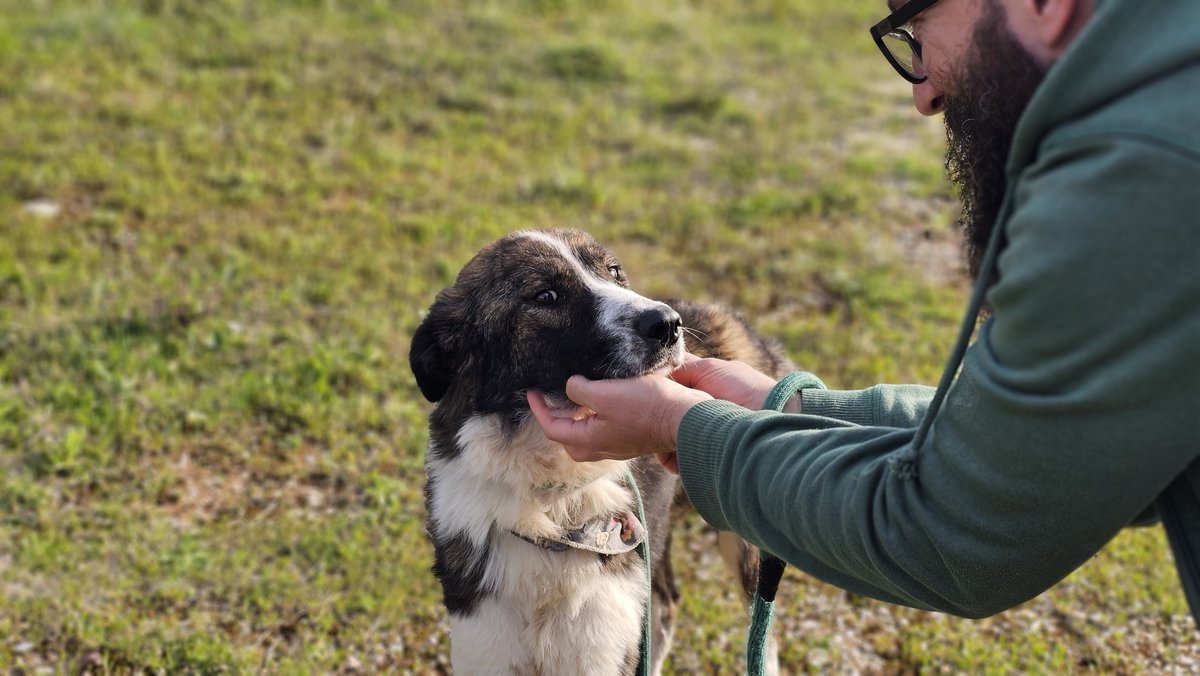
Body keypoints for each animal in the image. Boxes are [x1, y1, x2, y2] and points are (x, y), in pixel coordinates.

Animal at [410, 229, 793, 675]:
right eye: (545, 296)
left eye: (615, 271)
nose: (667, 325)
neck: (549, 501)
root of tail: (730, 318)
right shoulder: (486, 643)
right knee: (665, 606)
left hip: (745, 543)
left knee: (761, 634)